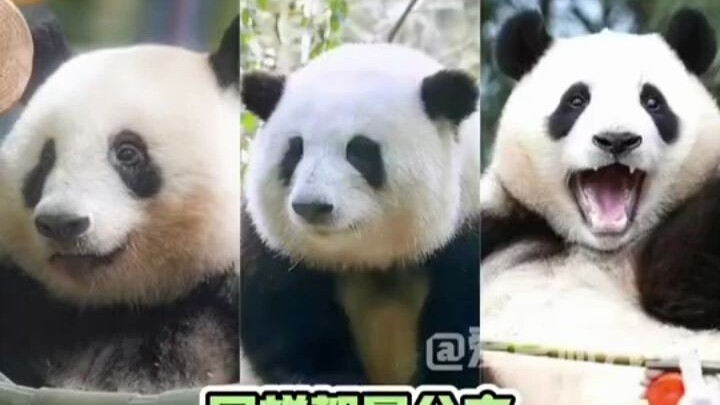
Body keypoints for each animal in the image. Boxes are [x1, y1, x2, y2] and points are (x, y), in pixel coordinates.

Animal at [481, 8, 720, 405]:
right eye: (576, 100)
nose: (617, 139)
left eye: (652, 102)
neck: (601, 247)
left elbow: (680, 287)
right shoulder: (501, 226)